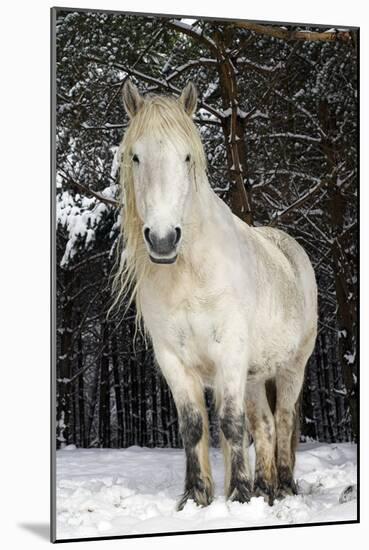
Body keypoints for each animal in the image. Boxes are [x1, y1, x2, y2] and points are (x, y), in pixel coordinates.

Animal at [113, 80, 316, 512]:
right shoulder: (173, 359)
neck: (191, 273)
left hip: (292, 367)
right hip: (255, 376)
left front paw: (238, 495)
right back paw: (266, 488)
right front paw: (197, 497)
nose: (162, 239)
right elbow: (194, 426)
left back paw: (284, 487)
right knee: (267, 425)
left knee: (284, 419)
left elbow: (231, 424)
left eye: (187, 156)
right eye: (136, 156)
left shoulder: (230, 353)